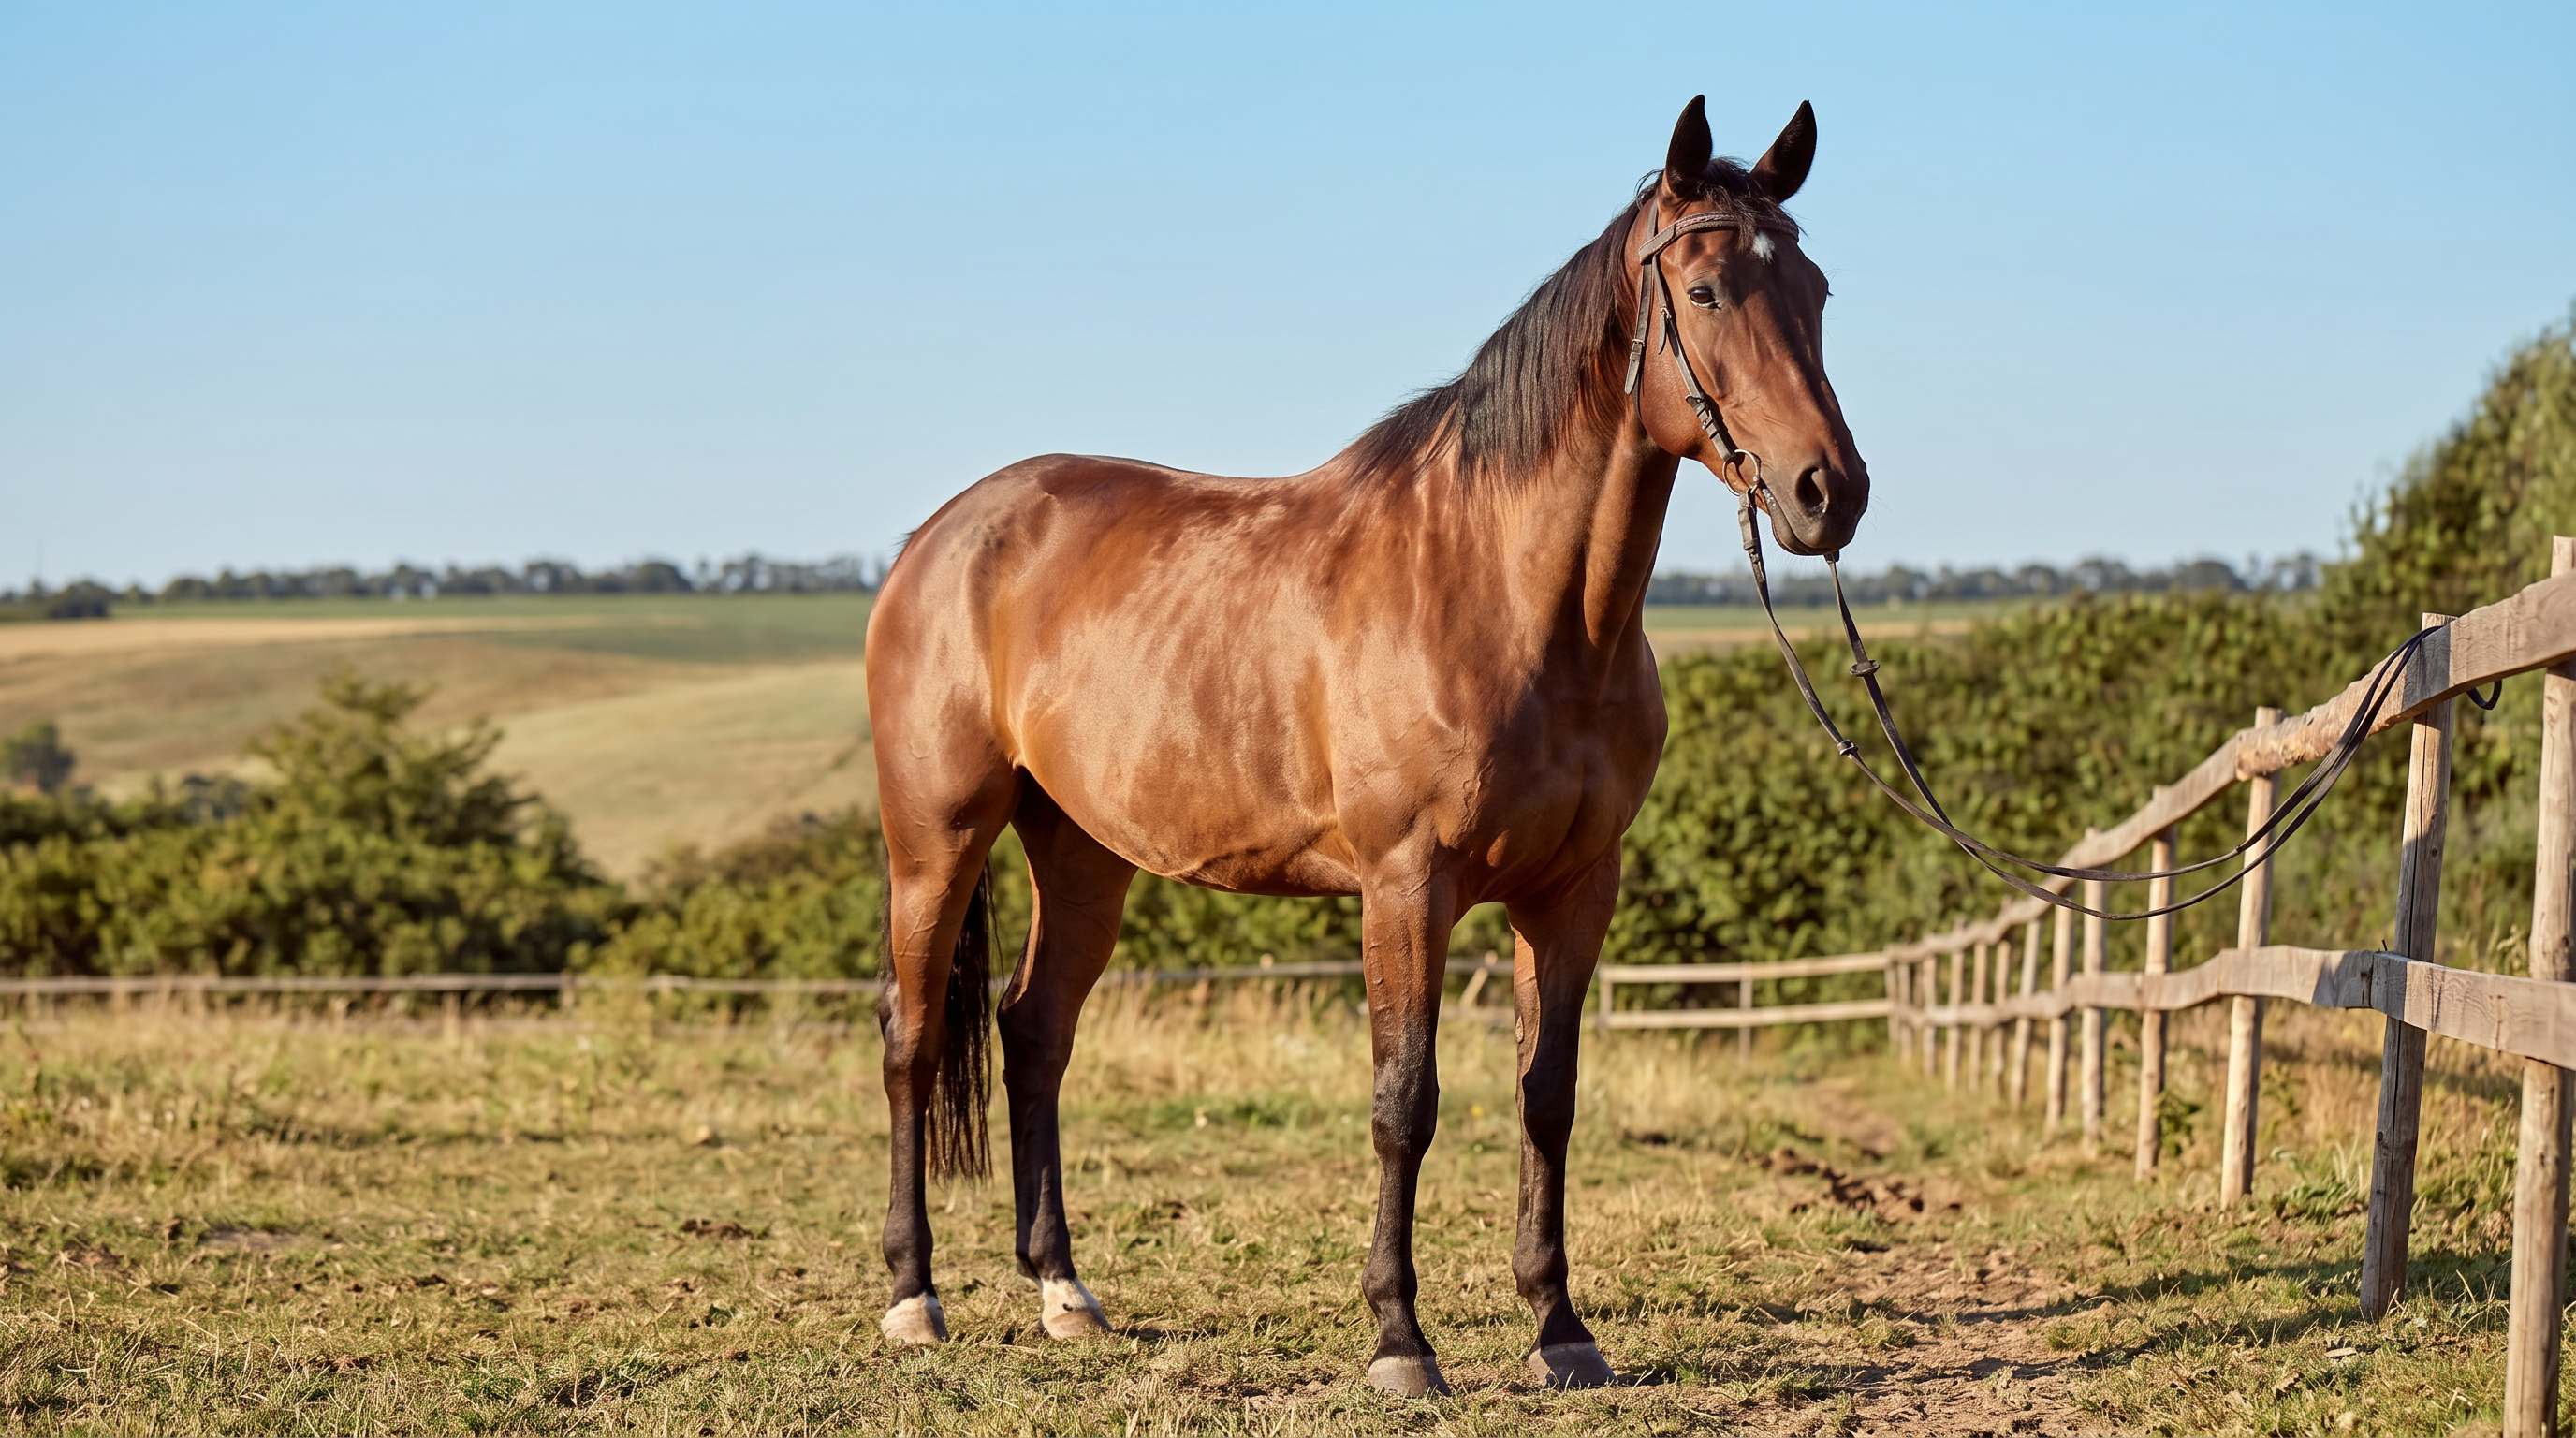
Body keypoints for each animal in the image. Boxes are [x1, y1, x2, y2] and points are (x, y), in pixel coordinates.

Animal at [864, 95, 1869, 1396]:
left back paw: (1064, 1294)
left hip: (1082, 851)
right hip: (934, 839)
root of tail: (940, 536)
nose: (1828, 494)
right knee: (913, 1038)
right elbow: (1406, 1100)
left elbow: (1547, 1098)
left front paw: (1560, 1329)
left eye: (1814, 289)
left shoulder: (1573, 892)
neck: (1504, 596)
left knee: (1034, 1033)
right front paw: (1400, 1340)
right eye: (1703, 292)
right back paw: (914, 1297)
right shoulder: (1405, 884)